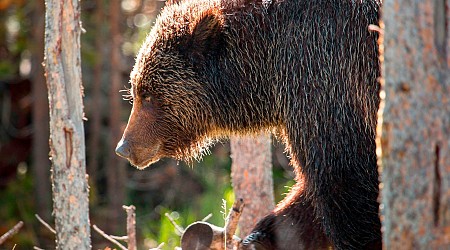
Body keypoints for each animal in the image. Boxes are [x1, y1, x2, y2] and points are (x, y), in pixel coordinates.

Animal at [115, 0, 380, 248]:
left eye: (147, 95)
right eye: (135, 90)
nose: (124, 147)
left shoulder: (326, 80)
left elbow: (344, 181)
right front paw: (261, 237)